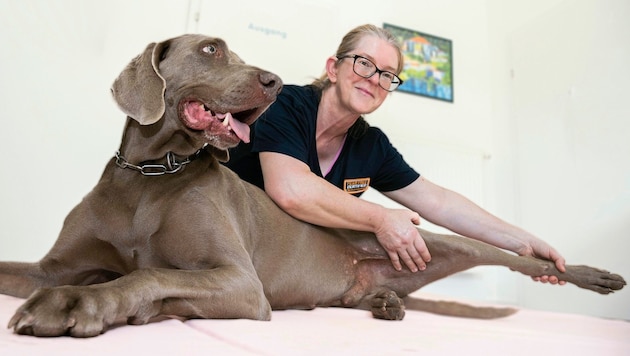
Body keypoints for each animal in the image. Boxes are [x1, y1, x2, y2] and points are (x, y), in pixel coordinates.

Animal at [0, 34, 624, 338]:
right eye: (211, 49)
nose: (274, 81)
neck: (152, 173)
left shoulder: (239, 282)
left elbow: (147, 274)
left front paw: (80, 302)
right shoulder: (48, 266)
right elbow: (30, 271)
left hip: (436, 236)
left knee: (510, 253)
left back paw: (589, 274)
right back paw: (383, 302)